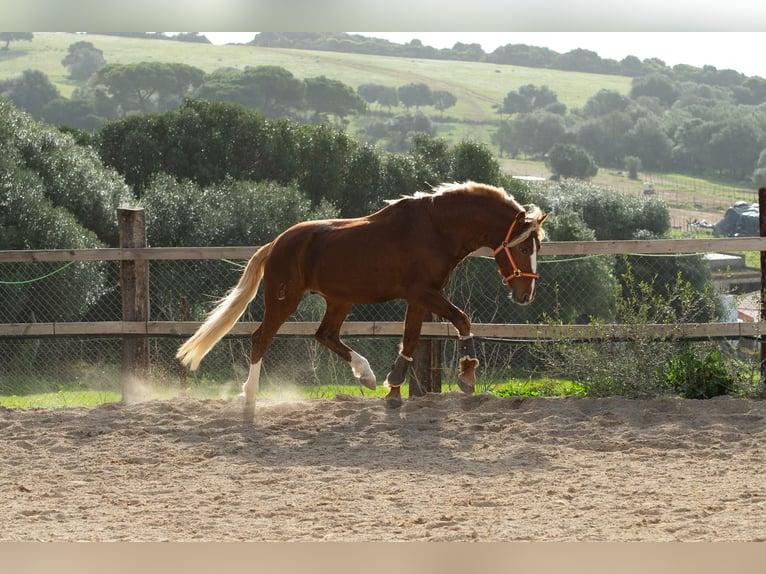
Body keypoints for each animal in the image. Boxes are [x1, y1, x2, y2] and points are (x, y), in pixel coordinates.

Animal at [176, 182, 544, 420]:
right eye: (525, 247)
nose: (526, 295)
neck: (436, 229)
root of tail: (277, 243)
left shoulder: (420, 297)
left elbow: (411, 339)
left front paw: (393, 392)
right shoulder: (423, 293)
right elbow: (462, 319)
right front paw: (467, 375)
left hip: (339, 300)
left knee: (325, 335)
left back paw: (365, 375)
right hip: (284, 299)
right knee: (260, 338)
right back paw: (250, 398)